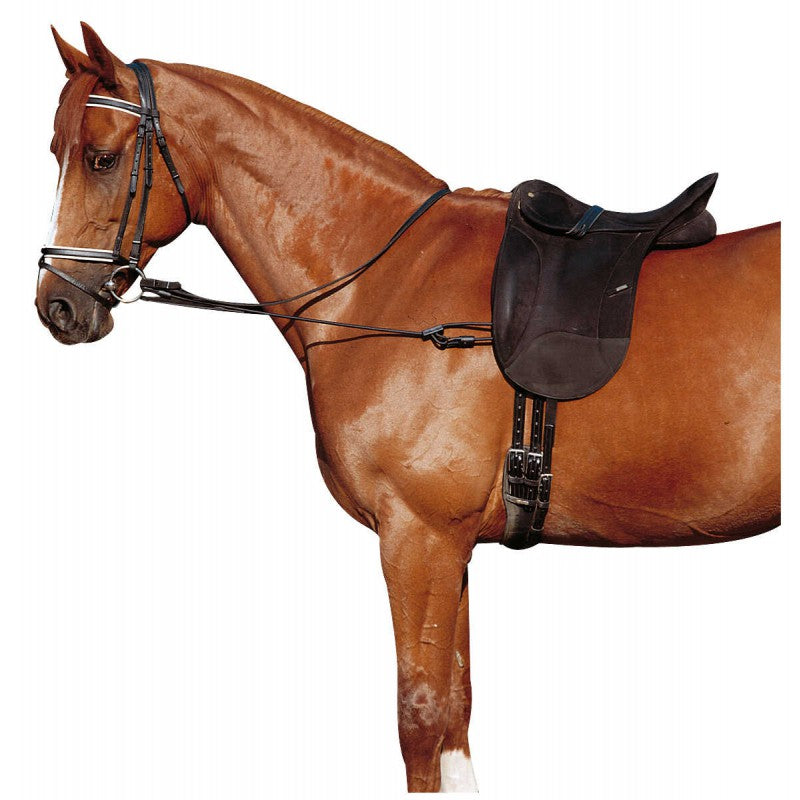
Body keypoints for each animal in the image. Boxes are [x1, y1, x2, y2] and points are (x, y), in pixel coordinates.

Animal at [36, 24, 780, 793]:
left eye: (101, 157)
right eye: (57, 152)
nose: (57, 305)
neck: (385, 281)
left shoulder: (418, 537)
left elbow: (421, 718)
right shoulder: (450, 548)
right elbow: (457, 711)